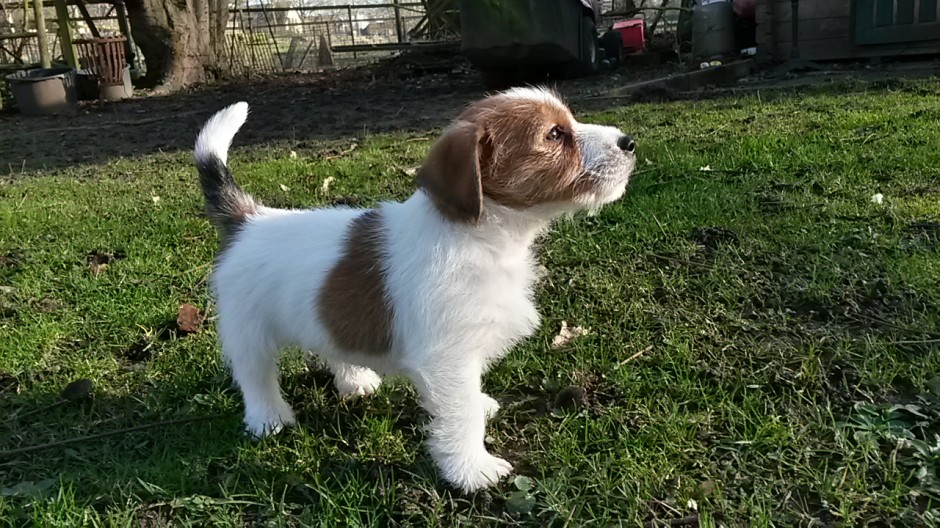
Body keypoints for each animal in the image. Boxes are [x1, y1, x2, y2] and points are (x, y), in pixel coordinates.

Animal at [196, 86, 640, 490]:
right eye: (554, 134)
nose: (629, 143)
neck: (479, 235)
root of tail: (250, 219)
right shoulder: (448, 357)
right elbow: (461, 415)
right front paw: (472, 470)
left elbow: (466, 398)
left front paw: (479, 409)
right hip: (247, 331)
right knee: (255, 376)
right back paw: (269, 419)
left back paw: (355, 380)